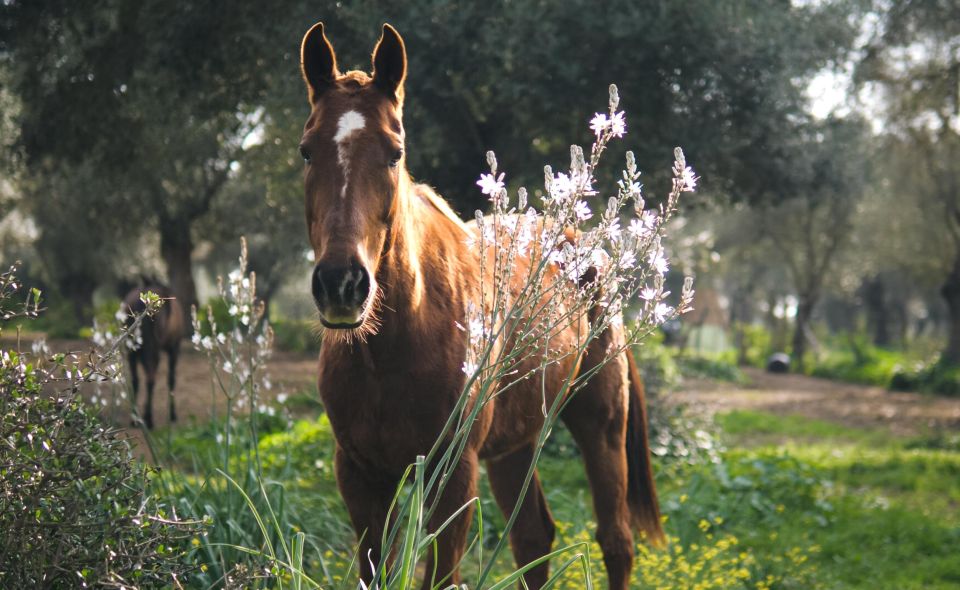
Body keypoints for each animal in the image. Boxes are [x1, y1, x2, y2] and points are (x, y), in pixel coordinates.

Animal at [122, 286, 184, 430]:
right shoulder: (174, 347)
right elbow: (171, 379)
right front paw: (172, 414)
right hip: (155, 347)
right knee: (151, 378)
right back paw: (148, 418)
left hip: (133, 348)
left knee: (137, 379)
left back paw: (136, 418)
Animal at [298, 23, 660, 590]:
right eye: (306, 151)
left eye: (394, 152)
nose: (342, 284)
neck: (393, 347)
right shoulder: (359, 475)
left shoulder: (453, 475)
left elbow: (442, 575)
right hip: (515, 445)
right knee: (533, 536)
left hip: (602, 426)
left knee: (616, 542)